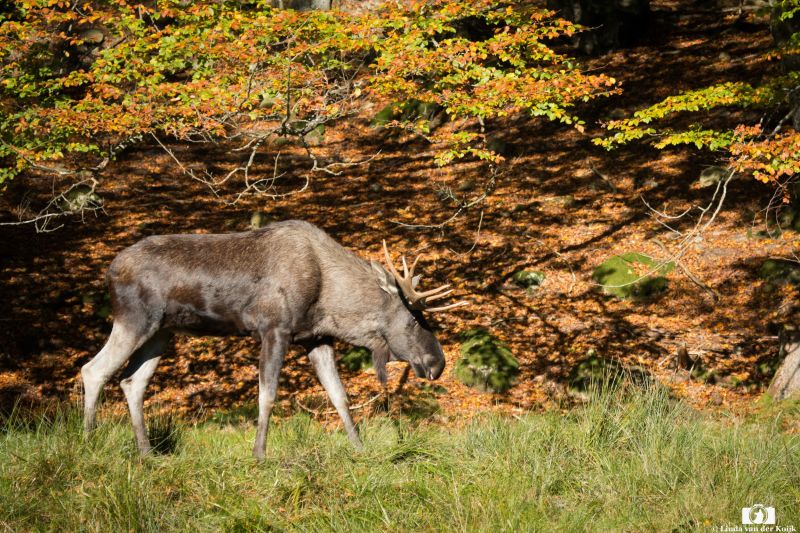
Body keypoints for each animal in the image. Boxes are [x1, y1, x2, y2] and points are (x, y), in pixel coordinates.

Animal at [80, 220, 466, 459]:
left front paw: (359, 448)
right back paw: (90, 440)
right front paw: (259, 453)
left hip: (161, 332)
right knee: (93, 370)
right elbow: (267, 396)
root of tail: (109, 272)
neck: (331, 301)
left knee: (132, 381)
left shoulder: (316, 338)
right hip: (134, 319)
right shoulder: (274, 329)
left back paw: (147, 452)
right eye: (414, 318)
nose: (438, 363)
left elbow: (339, 396)